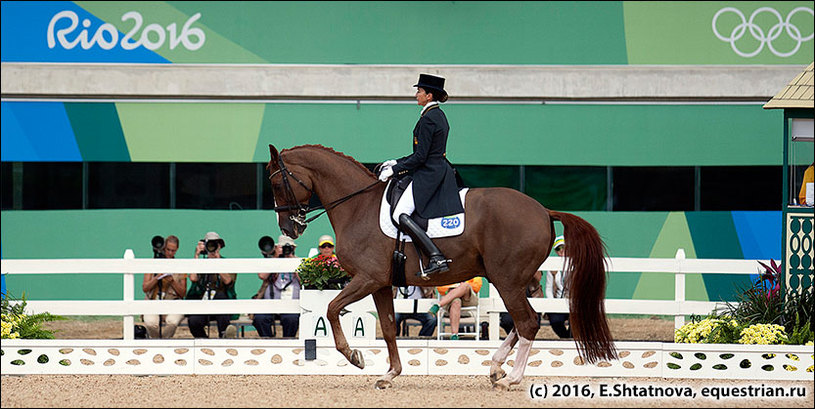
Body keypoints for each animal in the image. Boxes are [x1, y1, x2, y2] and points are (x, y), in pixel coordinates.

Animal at [268, 144, 620, 388]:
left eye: (277, 184)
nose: (289, 228)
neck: (358, 206)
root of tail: (544, 210)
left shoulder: (367, 278)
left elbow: (331, 310)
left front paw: (355, 357)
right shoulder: (381, 283)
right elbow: (388, 328)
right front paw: (390, 374)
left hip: (507, 279)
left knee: (528, 322)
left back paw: (511, 378)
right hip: (514, 281)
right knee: (524, 321)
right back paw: (496, 366)